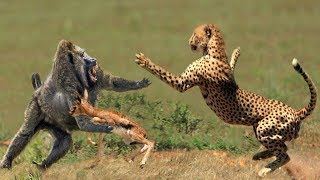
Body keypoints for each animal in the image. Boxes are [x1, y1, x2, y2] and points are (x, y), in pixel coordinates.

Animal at [134, 23, 316, 176]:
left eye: (194, 34)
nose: (189, 41)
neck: (212, 49)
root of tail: (297, 112)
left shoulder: (182, 83)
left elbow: (161, 71)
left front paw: (144, 61)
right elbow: (232, 67)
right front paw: (236, 52)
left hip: (264, 127)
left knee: (285, 155)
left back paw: (264, 170)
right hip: (261, 128)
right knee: (283, 147)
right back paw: (258, 155)